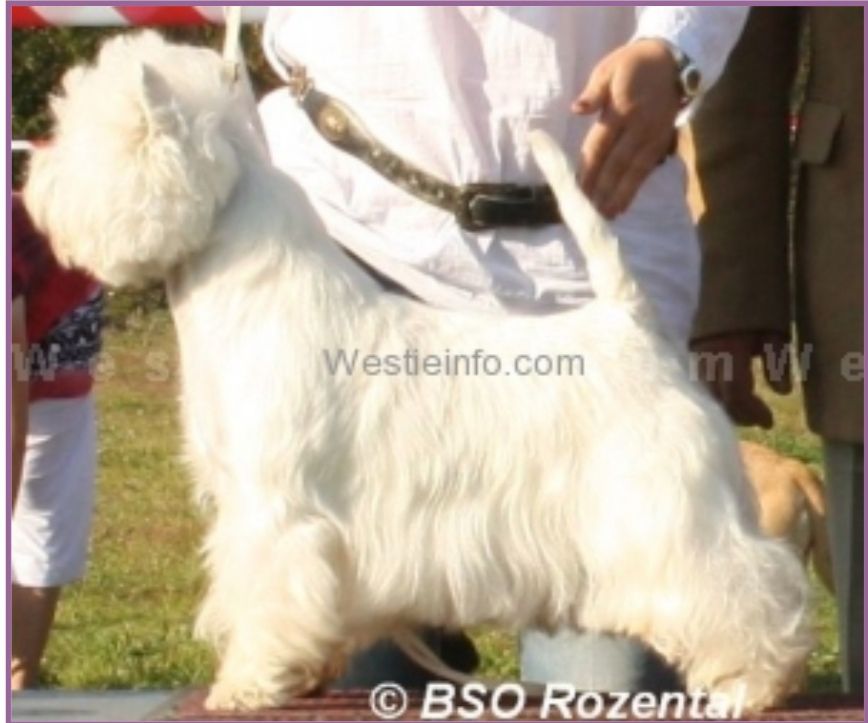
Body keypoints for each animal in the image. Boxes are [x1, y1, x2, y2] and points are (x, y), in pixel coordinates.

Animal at [27, 32, 812, 712]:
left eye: (80, 135)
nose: (33, 176)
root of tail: (632, 323)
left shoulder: (276, 508)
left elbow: (266, 592)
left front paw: (245, 683)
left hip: (664, 511)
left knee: (745, 585)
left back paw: (755, 683)